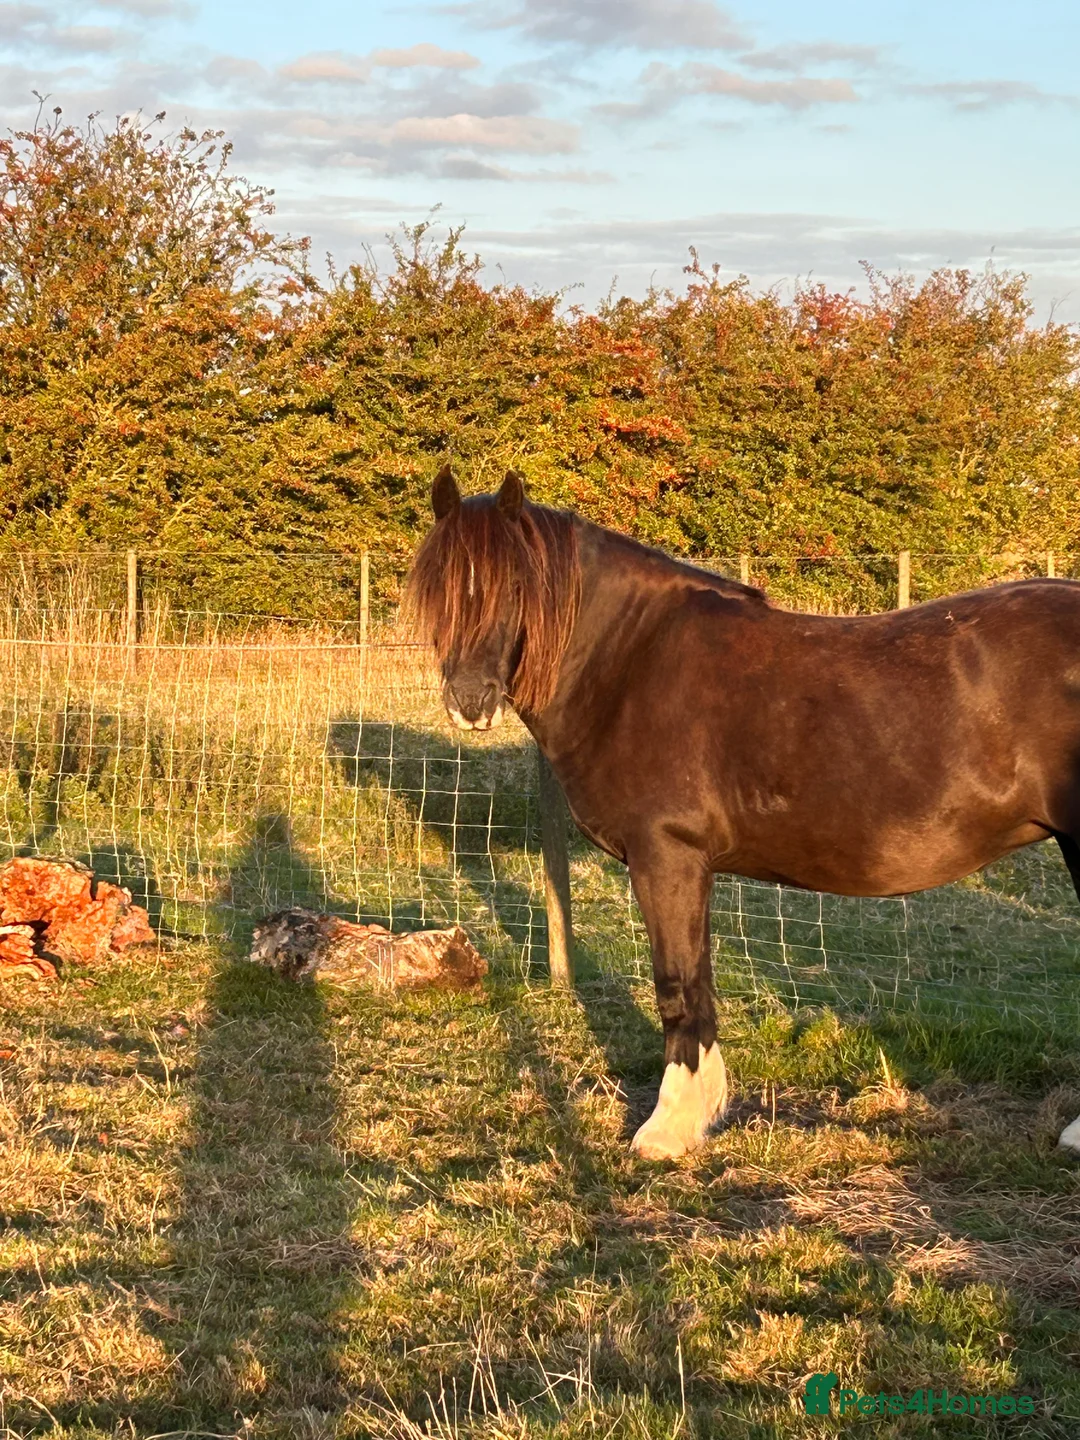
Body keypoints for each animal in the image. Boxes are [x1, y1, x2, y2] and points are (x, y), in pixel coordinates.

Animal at [407, 465, 1080, 1160]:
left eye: (516, 586)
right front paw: (703, 1115)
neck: (632, 660)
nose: (469, 701)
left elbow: (676, 986)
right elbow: (697, 983)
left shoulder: (665, 858)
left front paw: (667, 1129)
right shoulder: (690, 867)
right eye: (437, 590)